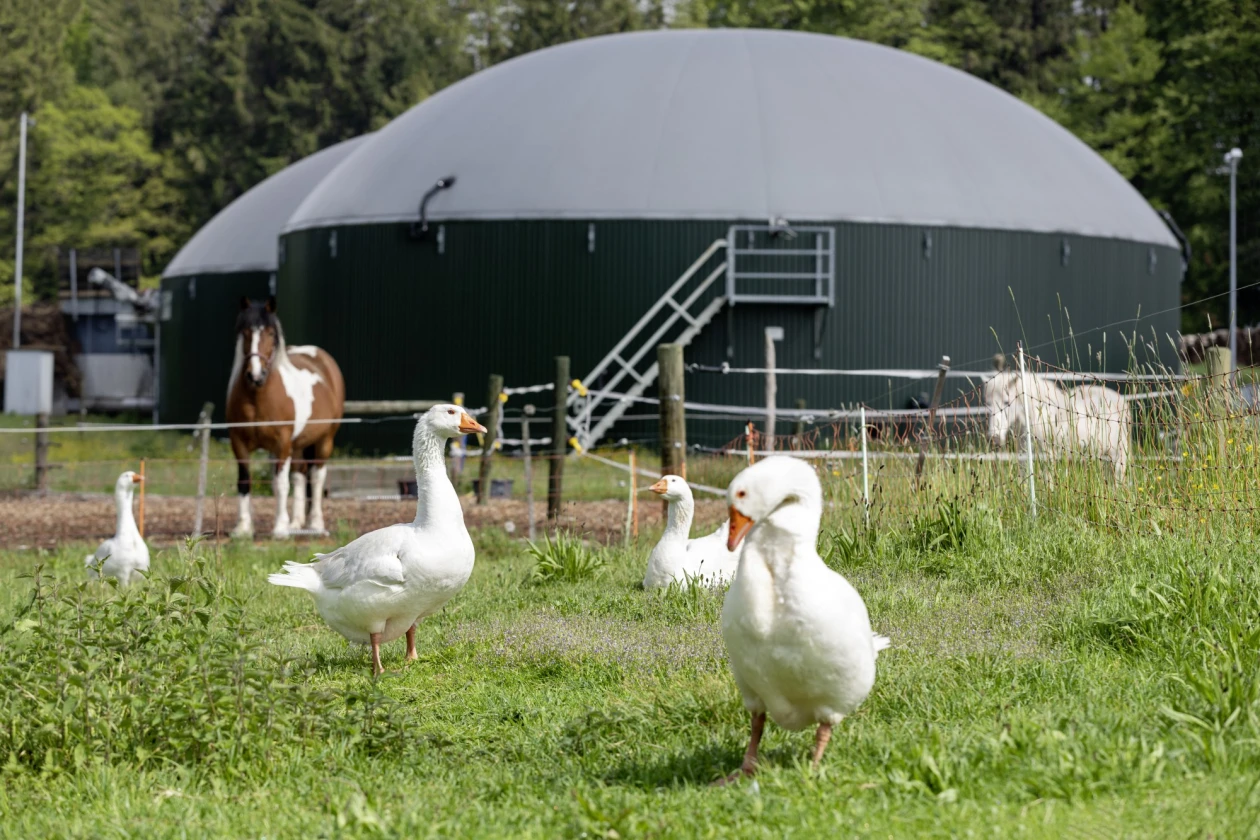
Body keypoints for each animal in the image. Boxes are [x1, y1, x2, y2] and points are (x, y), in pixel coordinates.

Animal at [227, 297, 345, 538]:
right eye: (245, 331)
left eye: (271, 333)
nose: (255, 375)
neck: (258, 397)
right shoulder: (239, 443)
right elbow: (244, 481)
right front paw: (243, 528)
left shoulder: (281, 445)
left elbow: (280, 485)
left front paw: (280, 528)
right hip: (298, 445)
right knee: (300, 475)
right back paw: (297, 523)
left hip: (324, 440)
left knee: (316, 477)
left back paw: (315, 523)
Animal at [983, 371, 1130, 481]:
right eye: (987, 403)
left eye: (1006, 402)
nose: (994, 438)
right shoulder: (1024, 455)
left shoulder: (1048, 455)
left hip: (1118, 454)